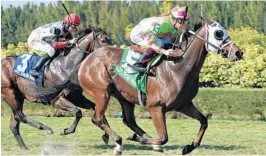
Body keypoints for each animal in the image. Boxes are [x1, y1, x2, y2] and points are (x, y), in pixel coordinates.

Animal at [77, 19, 243, 155]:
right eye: (218, 33)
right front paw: (140, 139)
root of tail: (89, 58)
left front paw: (189, 147)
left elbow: (204, 121)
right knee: (98, 118)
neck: (177, 67)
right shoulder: (155, 107)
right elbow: (164, 137)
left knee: (128, 120)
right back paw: (119, 141)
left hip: (125, 97)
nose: (238, 52)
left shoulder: (183, 105)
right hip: (102, 92)